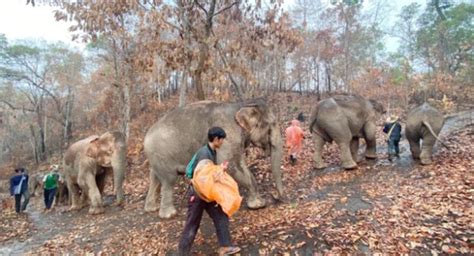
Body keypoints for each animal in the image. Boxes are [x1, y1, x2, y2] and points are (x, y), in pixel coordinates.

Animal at [143, 98, 284, 218]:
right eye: (271, 126)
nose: (276, 196)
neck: (242, 104)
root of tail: (145, 138)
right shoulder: (228, 136)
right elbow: (231, 165)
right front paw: (258, 205)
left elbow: (237, 165)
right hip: (162, 155)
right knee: (168, 181)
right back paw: (169, 214)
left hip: (156, 157)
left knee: (155, 177)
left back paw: (151, 208)